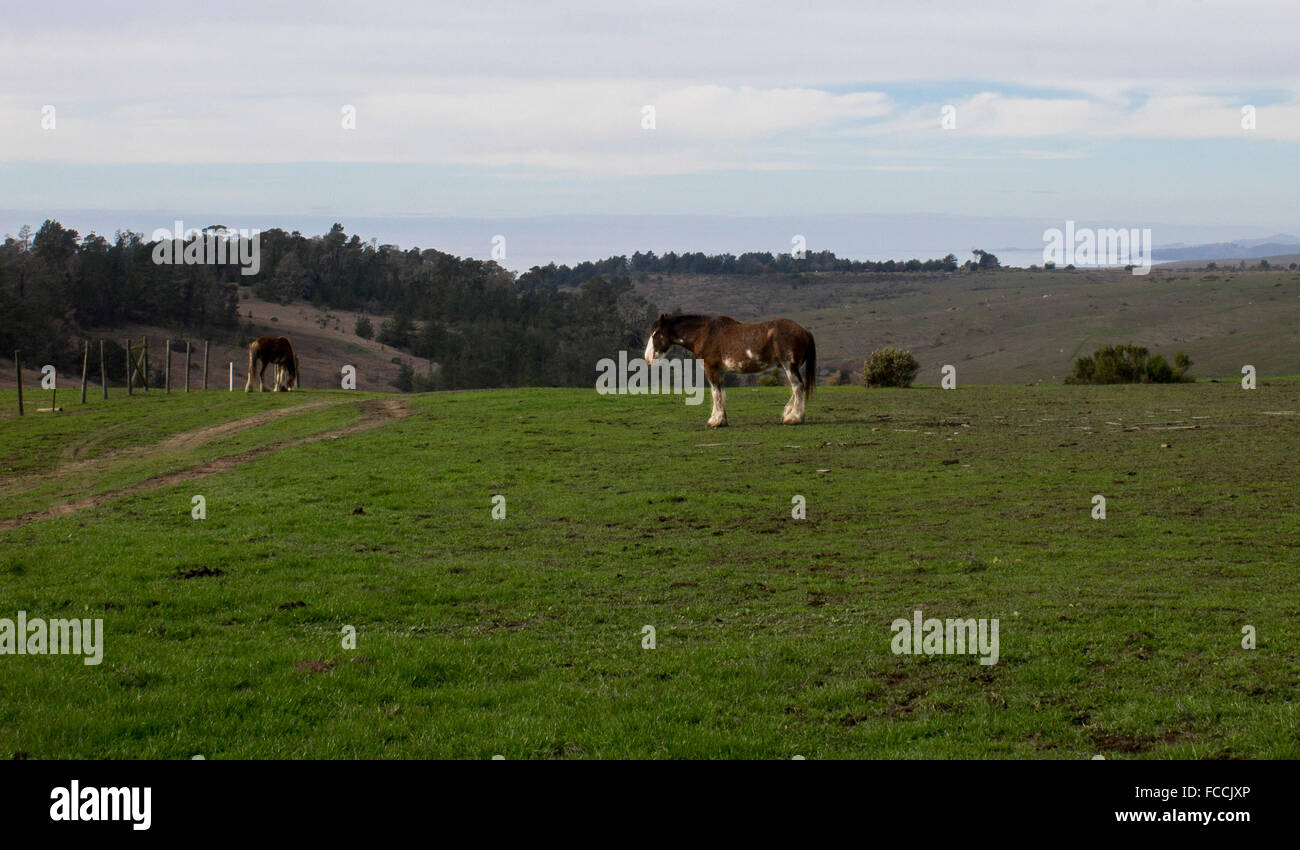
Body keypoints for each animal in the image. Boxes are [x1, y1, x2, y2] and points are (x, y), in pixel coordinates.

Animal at [647, 314, 816, 428]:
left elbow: (715, 394)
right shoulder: (720, 372)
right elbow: (721, 394)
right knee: (797, 389)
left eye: (656, 335)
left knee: (798, 387)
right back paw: (788, 413)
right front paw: (721, 419)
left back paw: (794, 418)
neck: (705, 334)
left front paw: (715, 421)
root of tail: (804, 331)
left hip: (789, 366)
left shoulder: (711, 370)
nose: (648, 358)